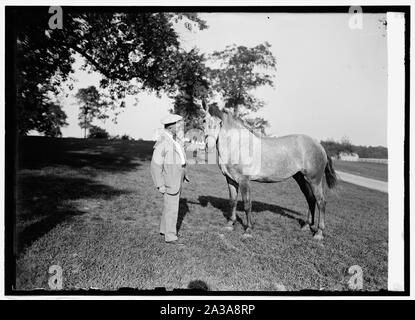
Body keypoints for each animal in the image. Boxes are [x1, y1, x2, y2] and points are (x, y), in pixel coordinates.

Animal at [202, 101, 338, 239]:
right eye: (204, 120)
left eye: (220, 123)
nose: (209, 145)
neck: (237, 145)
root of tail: (320, 146)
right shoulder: (230, 179)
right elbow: (232, 202)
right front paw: (230, 225)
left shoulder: (244, 181)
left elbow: (247, 204)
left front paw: (248, 230)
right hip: (301, 178)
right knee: (311, 199)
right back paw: (306, 226)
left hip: (314, 180)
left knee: (321, 202)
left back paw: (319, 233)